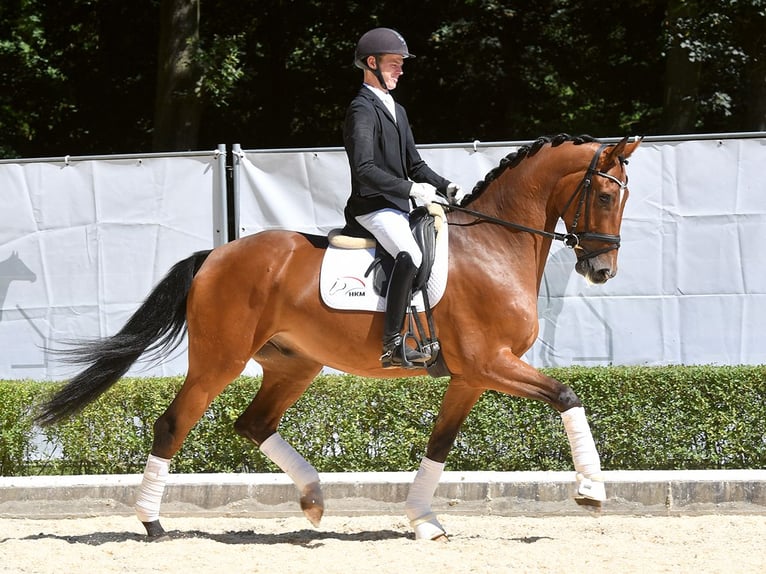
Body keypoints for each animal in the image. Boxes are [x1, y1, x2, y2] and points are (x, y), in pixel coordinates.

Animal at [36, 133, 640, 544]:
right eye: (605, 197)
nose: (603, 271)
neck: (495, 245)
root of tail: (216, 254)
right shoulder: (491, 363)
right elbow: (567, 395)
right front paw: (591, 491)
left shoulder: (471, 376)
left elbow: (439, 444)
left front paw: (424, 521)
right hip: (219, 361)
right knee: (173, 424)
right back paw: (153, 522)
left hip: (293, 363)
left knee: (254, 423)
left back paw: (314, 501)